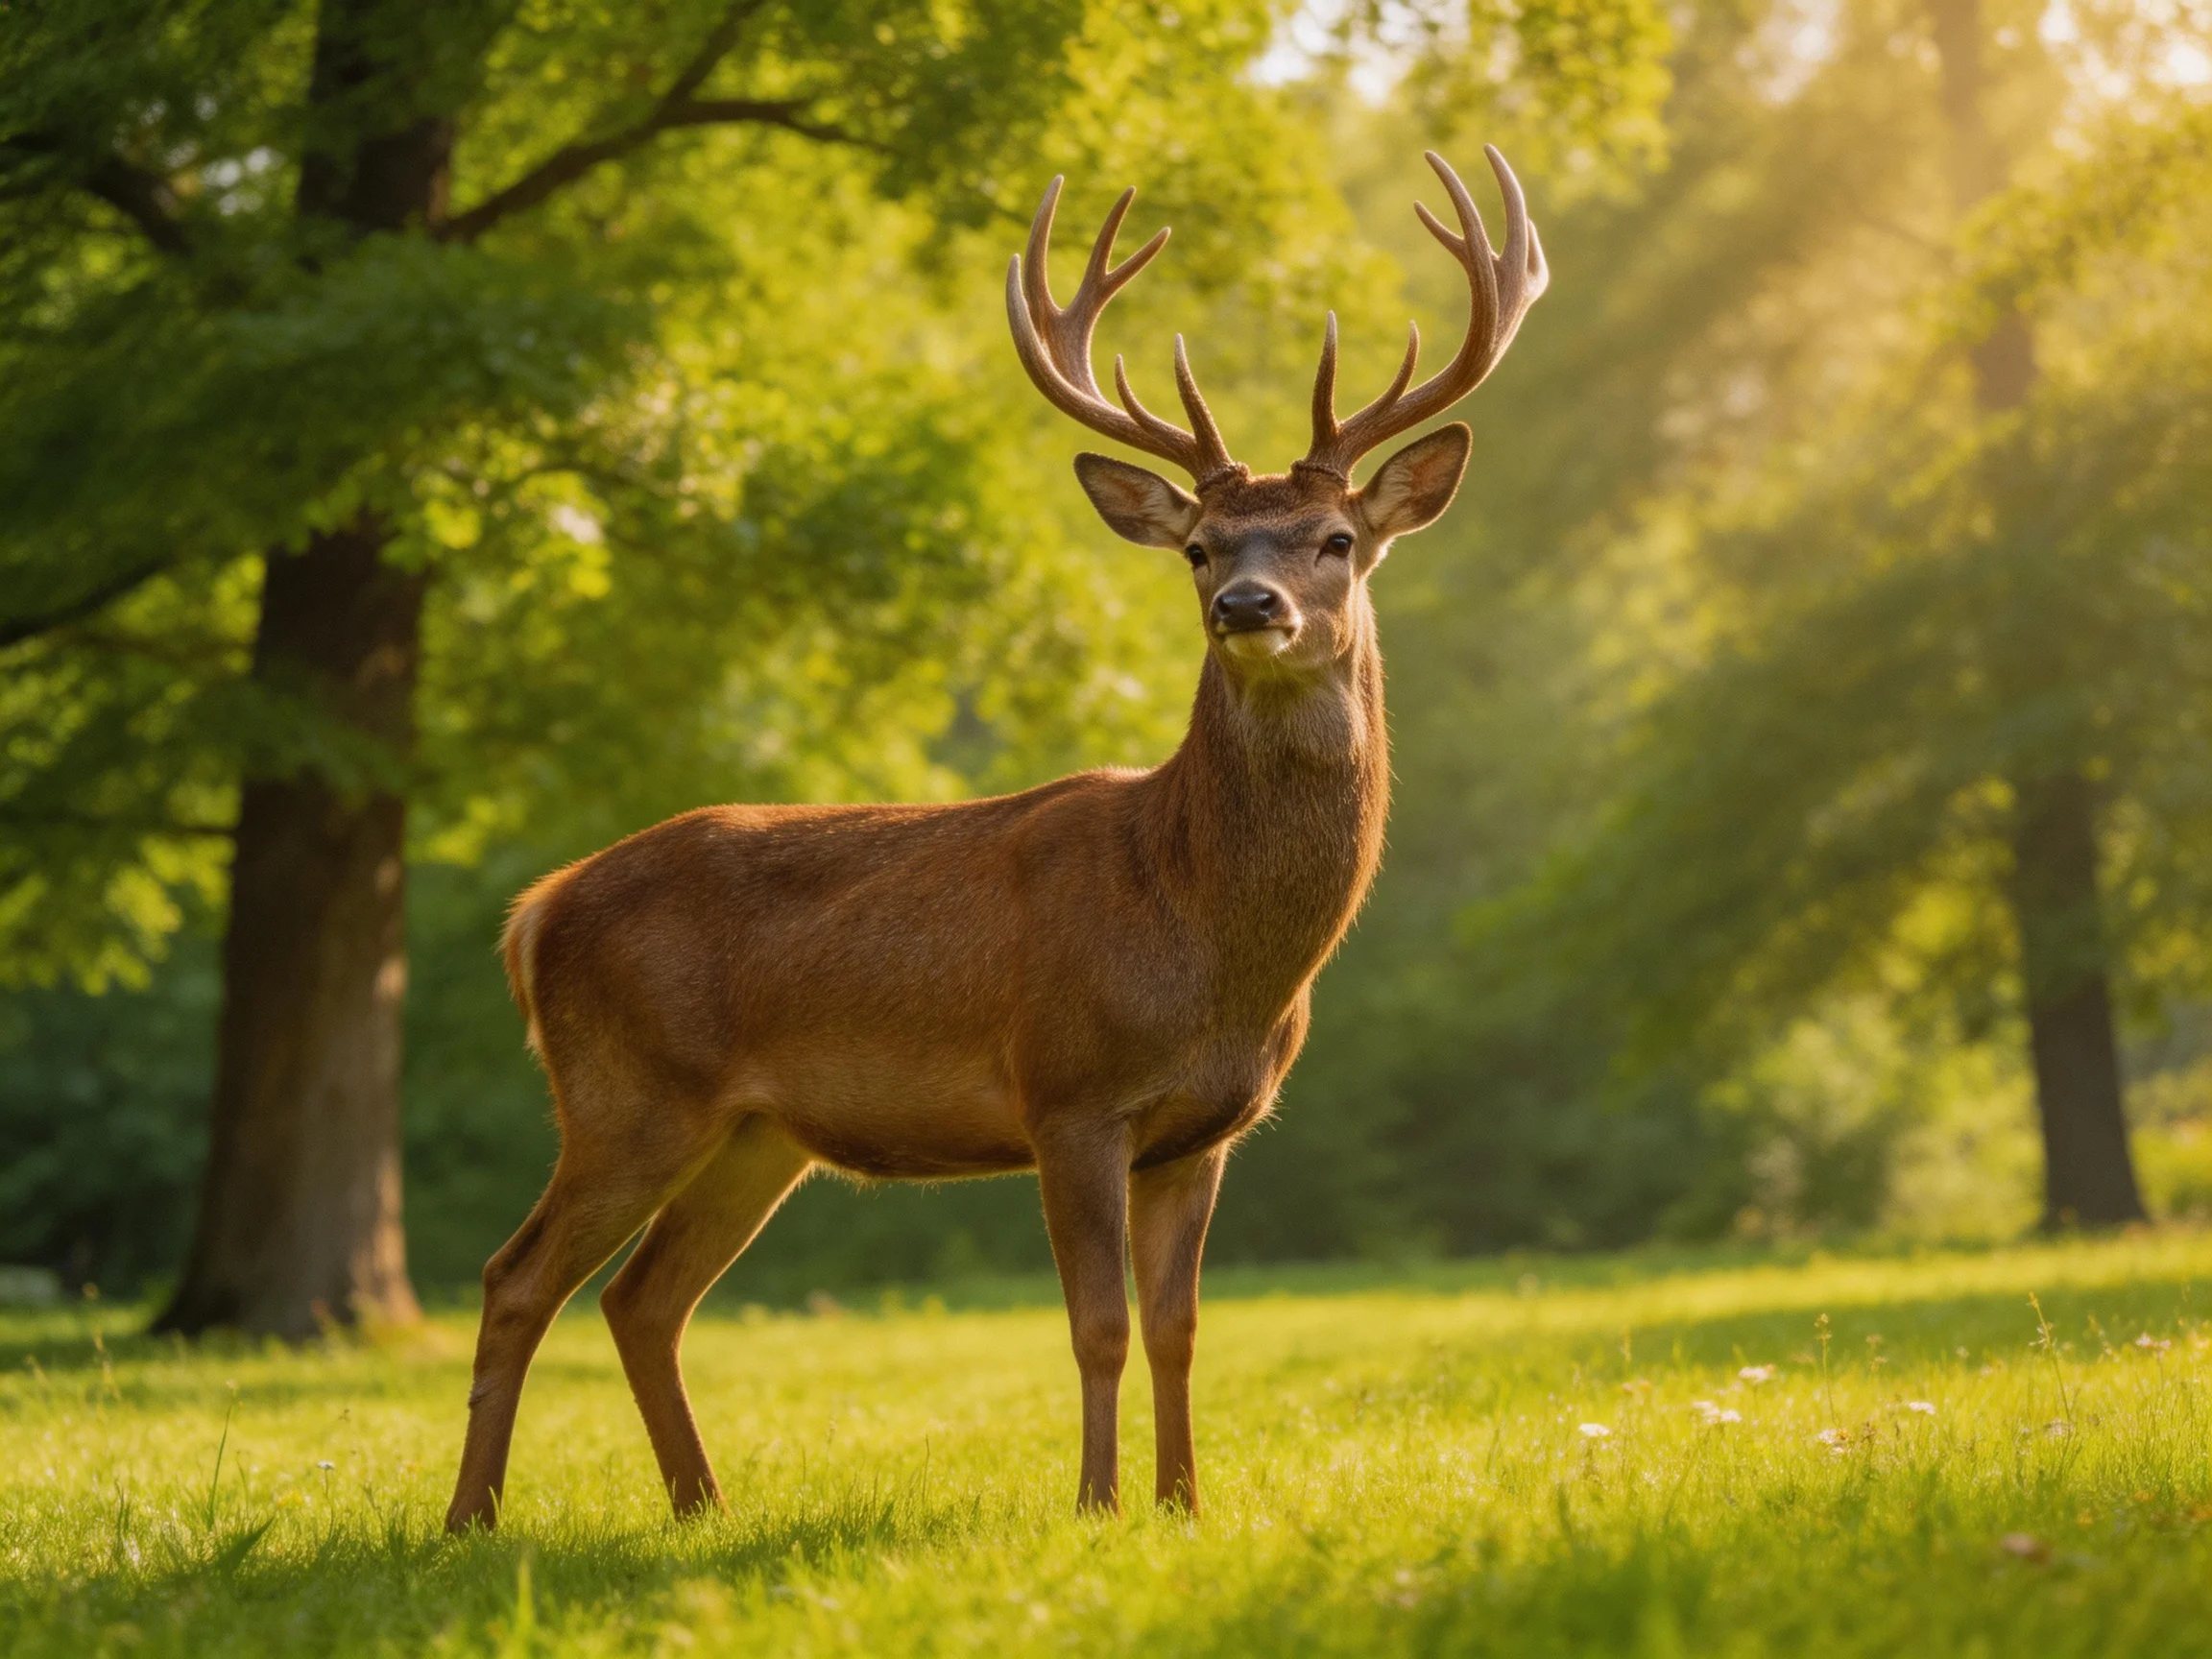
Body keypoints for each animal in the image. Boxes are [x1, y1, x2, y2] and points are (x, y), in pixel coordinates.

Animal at [443, 146, 1545, 1533]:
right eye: (1198, 549)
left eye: (1337, 539)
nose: (1249, 605)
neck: (1205, 932)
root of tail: (535, 912)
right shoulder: (1065, 1090)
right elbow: (1097, 1326)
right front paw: (1098, 1505)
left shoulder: (1206, 1131)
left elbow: (1181, 1329)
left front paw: (1185, 1505)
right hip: (623, 1091)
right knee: (517, 1274)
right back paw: (471, 1519)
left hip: (754, 1134)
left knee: (643, 1300)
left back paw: (702, 1507)